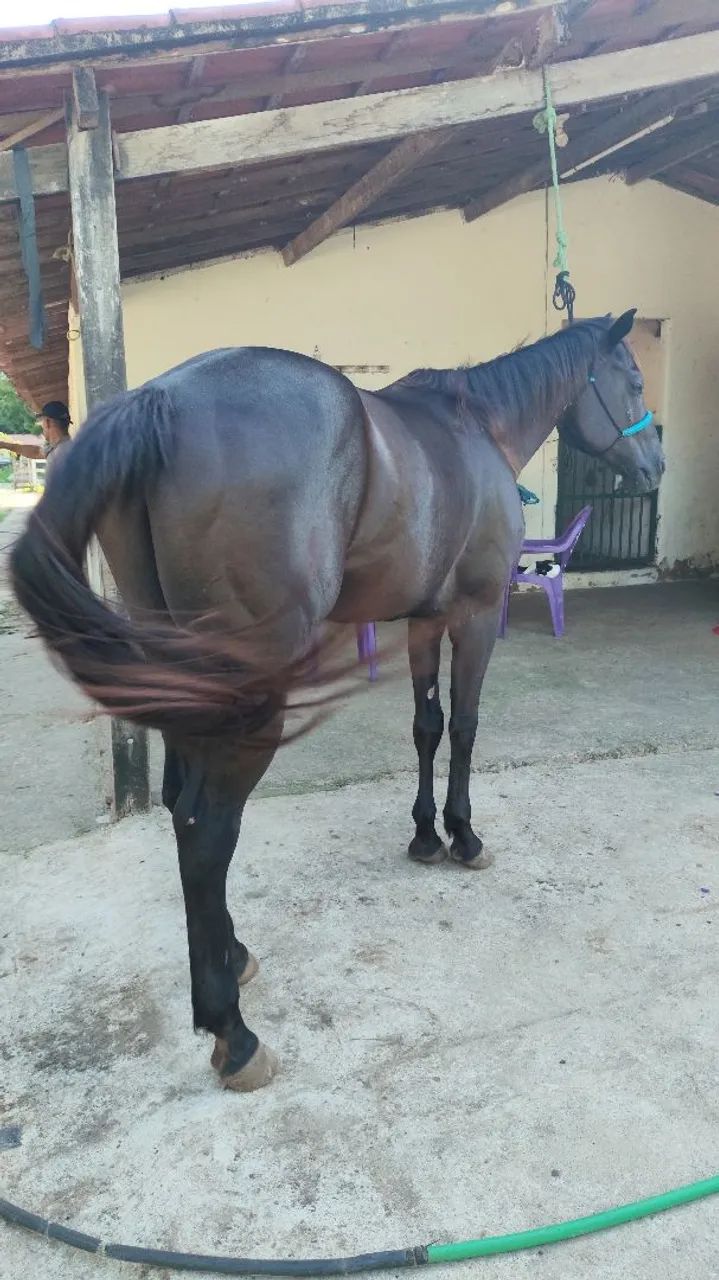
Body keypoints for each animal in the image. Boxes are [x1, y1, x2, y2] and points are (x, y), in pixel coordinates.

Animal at [11, 310, 664, 1093]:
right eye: (633, 381)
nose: (656, 467)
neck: (478, 426)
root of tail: (157, 403)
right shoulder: (474, 615)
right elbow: (465, 725)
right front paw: (464, 835)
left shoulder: (423, 620)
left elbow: (426, 724)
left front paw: (424, 836)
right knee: (207, 825)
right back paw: (232, 1033)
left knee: (179, 804)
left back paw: (232, 954)